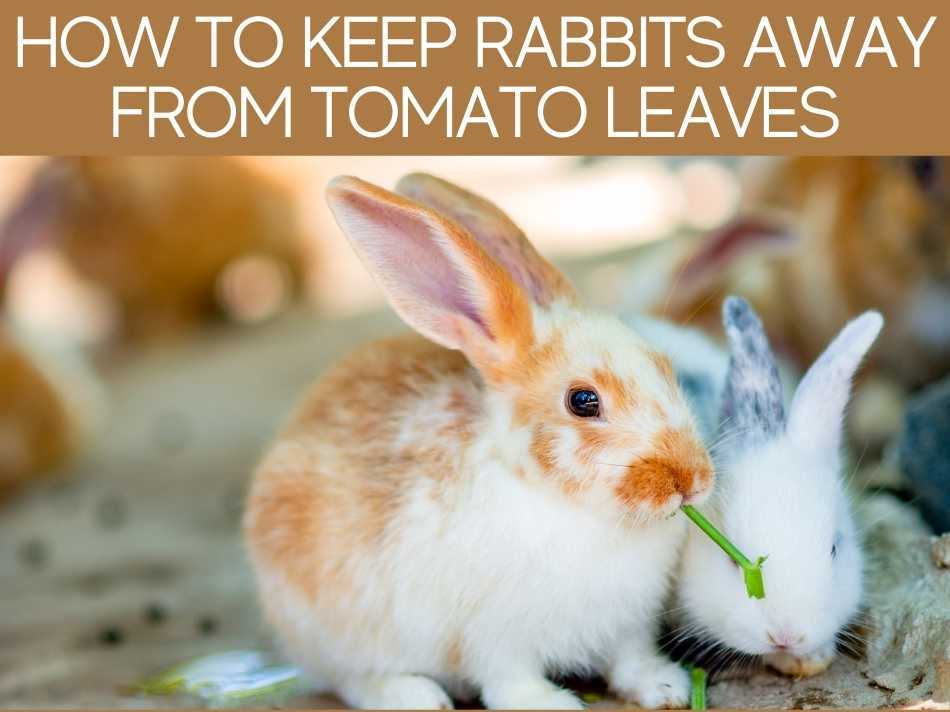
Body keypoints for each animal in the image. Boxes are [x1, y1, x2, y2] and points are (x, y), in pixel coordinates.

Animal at [244, 173, 716, 710]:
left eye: (665, 366)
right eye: (583, 401)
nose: (692, 480)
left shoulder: (627, 625)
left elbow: (630, 658)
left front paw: (665, 686)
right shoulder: (494, 638)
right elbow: (509, 680)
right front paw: (551, 704)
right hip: (335, 630)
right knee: (351, 678)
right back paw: (414, 695)